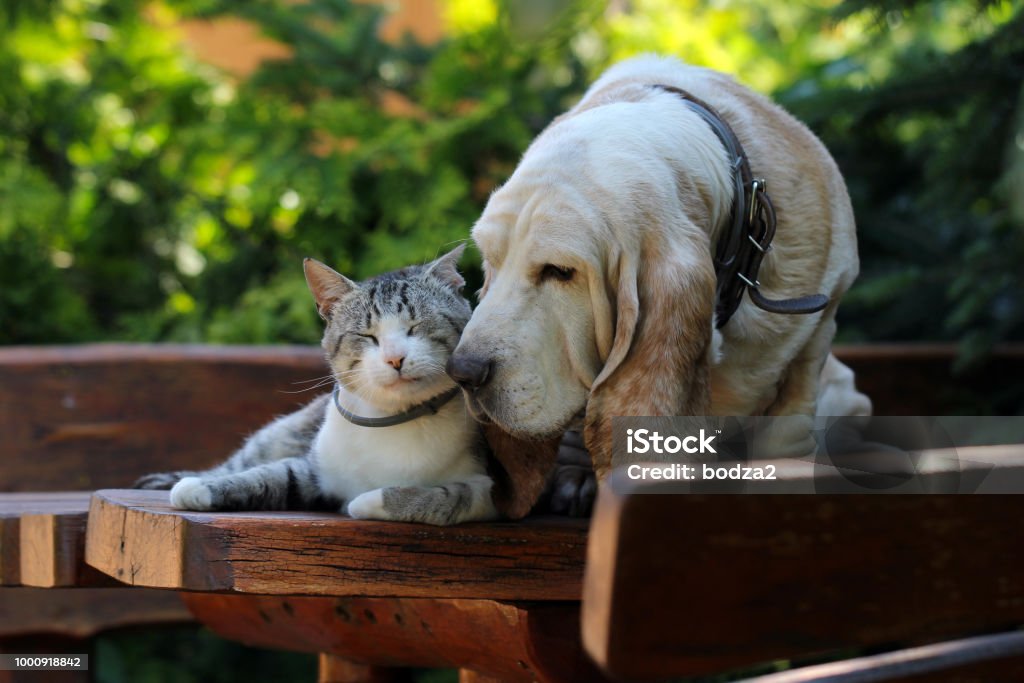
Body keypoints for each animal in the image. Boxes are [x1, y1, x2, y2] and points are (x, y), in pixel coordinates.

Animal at [136, 246, 499, 528]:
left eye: (417, 326)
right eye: (367, 335)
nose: (395, 358)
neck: (394, 419)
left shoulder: (491, 490)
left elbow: (445, 497)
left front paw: (367, 501)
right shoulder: (312, 469)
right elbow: (268, 475)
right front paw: (198, 488)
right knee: (238, 463)